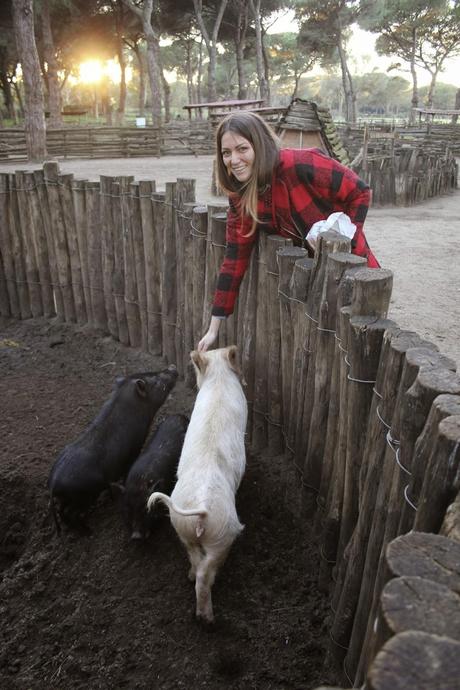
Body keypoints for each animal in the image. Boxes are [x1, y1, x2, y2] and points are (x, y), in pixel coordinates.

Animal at [48, 366, 178, 532]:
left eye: (150, 372)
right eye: (155, 380)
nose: (172, 367)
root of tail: (53, 482)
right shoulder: (134, 448)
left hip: (67, 498)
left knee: (62, 511)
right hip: (83, 495)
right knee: (70, 513)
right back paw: (88, 532)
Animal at [148, 346, 248, 620]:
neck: (219, 378)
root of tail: (201, 511)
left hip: (182, 528)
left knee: (194, 560)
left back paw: (190, 578)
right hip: (223, 535)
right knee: (205, 572)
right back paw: (207, 618)